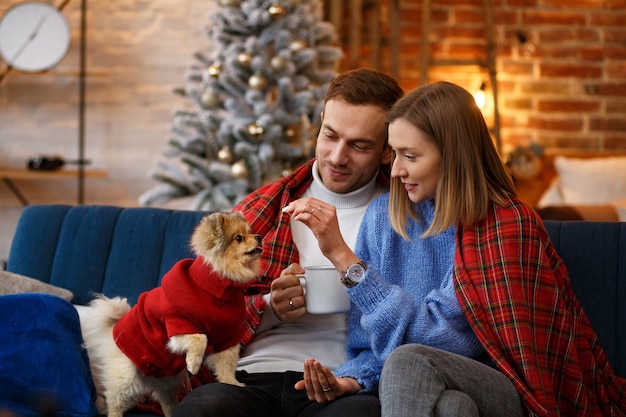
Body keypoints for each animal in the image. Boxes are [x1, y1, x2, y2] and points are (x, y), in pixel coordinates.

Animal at [78, 211, 264, 416]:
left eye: (251, 232)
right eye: (239, 238)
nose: (259, 236)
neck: (217, 290)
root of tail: (113, 330)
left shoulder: (227, 337)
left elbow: (227, 365)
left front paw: (231, 384)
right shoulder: (177, 325)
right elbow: (200, 338)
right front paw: (193, 363)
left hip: (167, 382)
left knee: (167, 401)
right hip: (126, 376)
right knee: (115, 401)